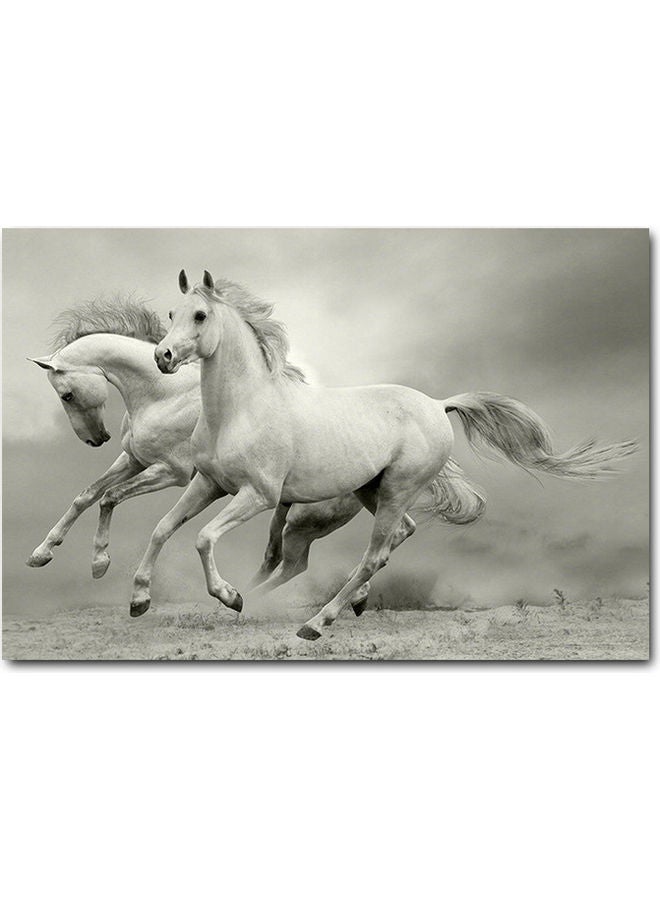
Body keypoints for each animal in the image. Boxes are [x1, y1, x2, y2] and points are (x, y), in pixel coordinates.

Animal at [131, 270, 636, 640]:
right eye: (172, 312)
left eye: (199, 315)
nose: (163, 356)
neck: (242, 408)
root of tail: (438, 404)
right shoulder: (208, 484)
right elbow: (161, 530)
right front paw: (139, 600)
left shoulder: (258, 495)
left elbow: (202, 538)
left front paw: (229, 595)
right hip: (373, 490)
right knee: (399, 536)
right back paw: (340, 604)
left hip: (395, 489)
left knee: (373, 556)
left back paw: (316, 623)